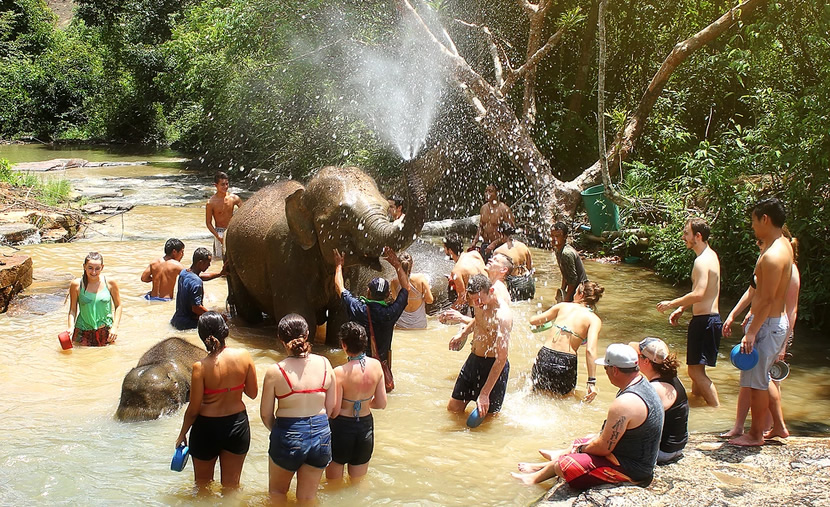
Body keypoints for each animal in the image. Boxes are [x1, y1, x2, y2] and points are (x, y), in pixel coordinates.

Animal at [225, 164, 426, 345]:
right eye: (343, 217)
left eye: (386, 209)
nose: (408, 161)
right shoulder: (283, 257)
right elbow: (301, 316)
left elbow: (340, 319)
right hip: (232, 261)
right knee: (248, 310)